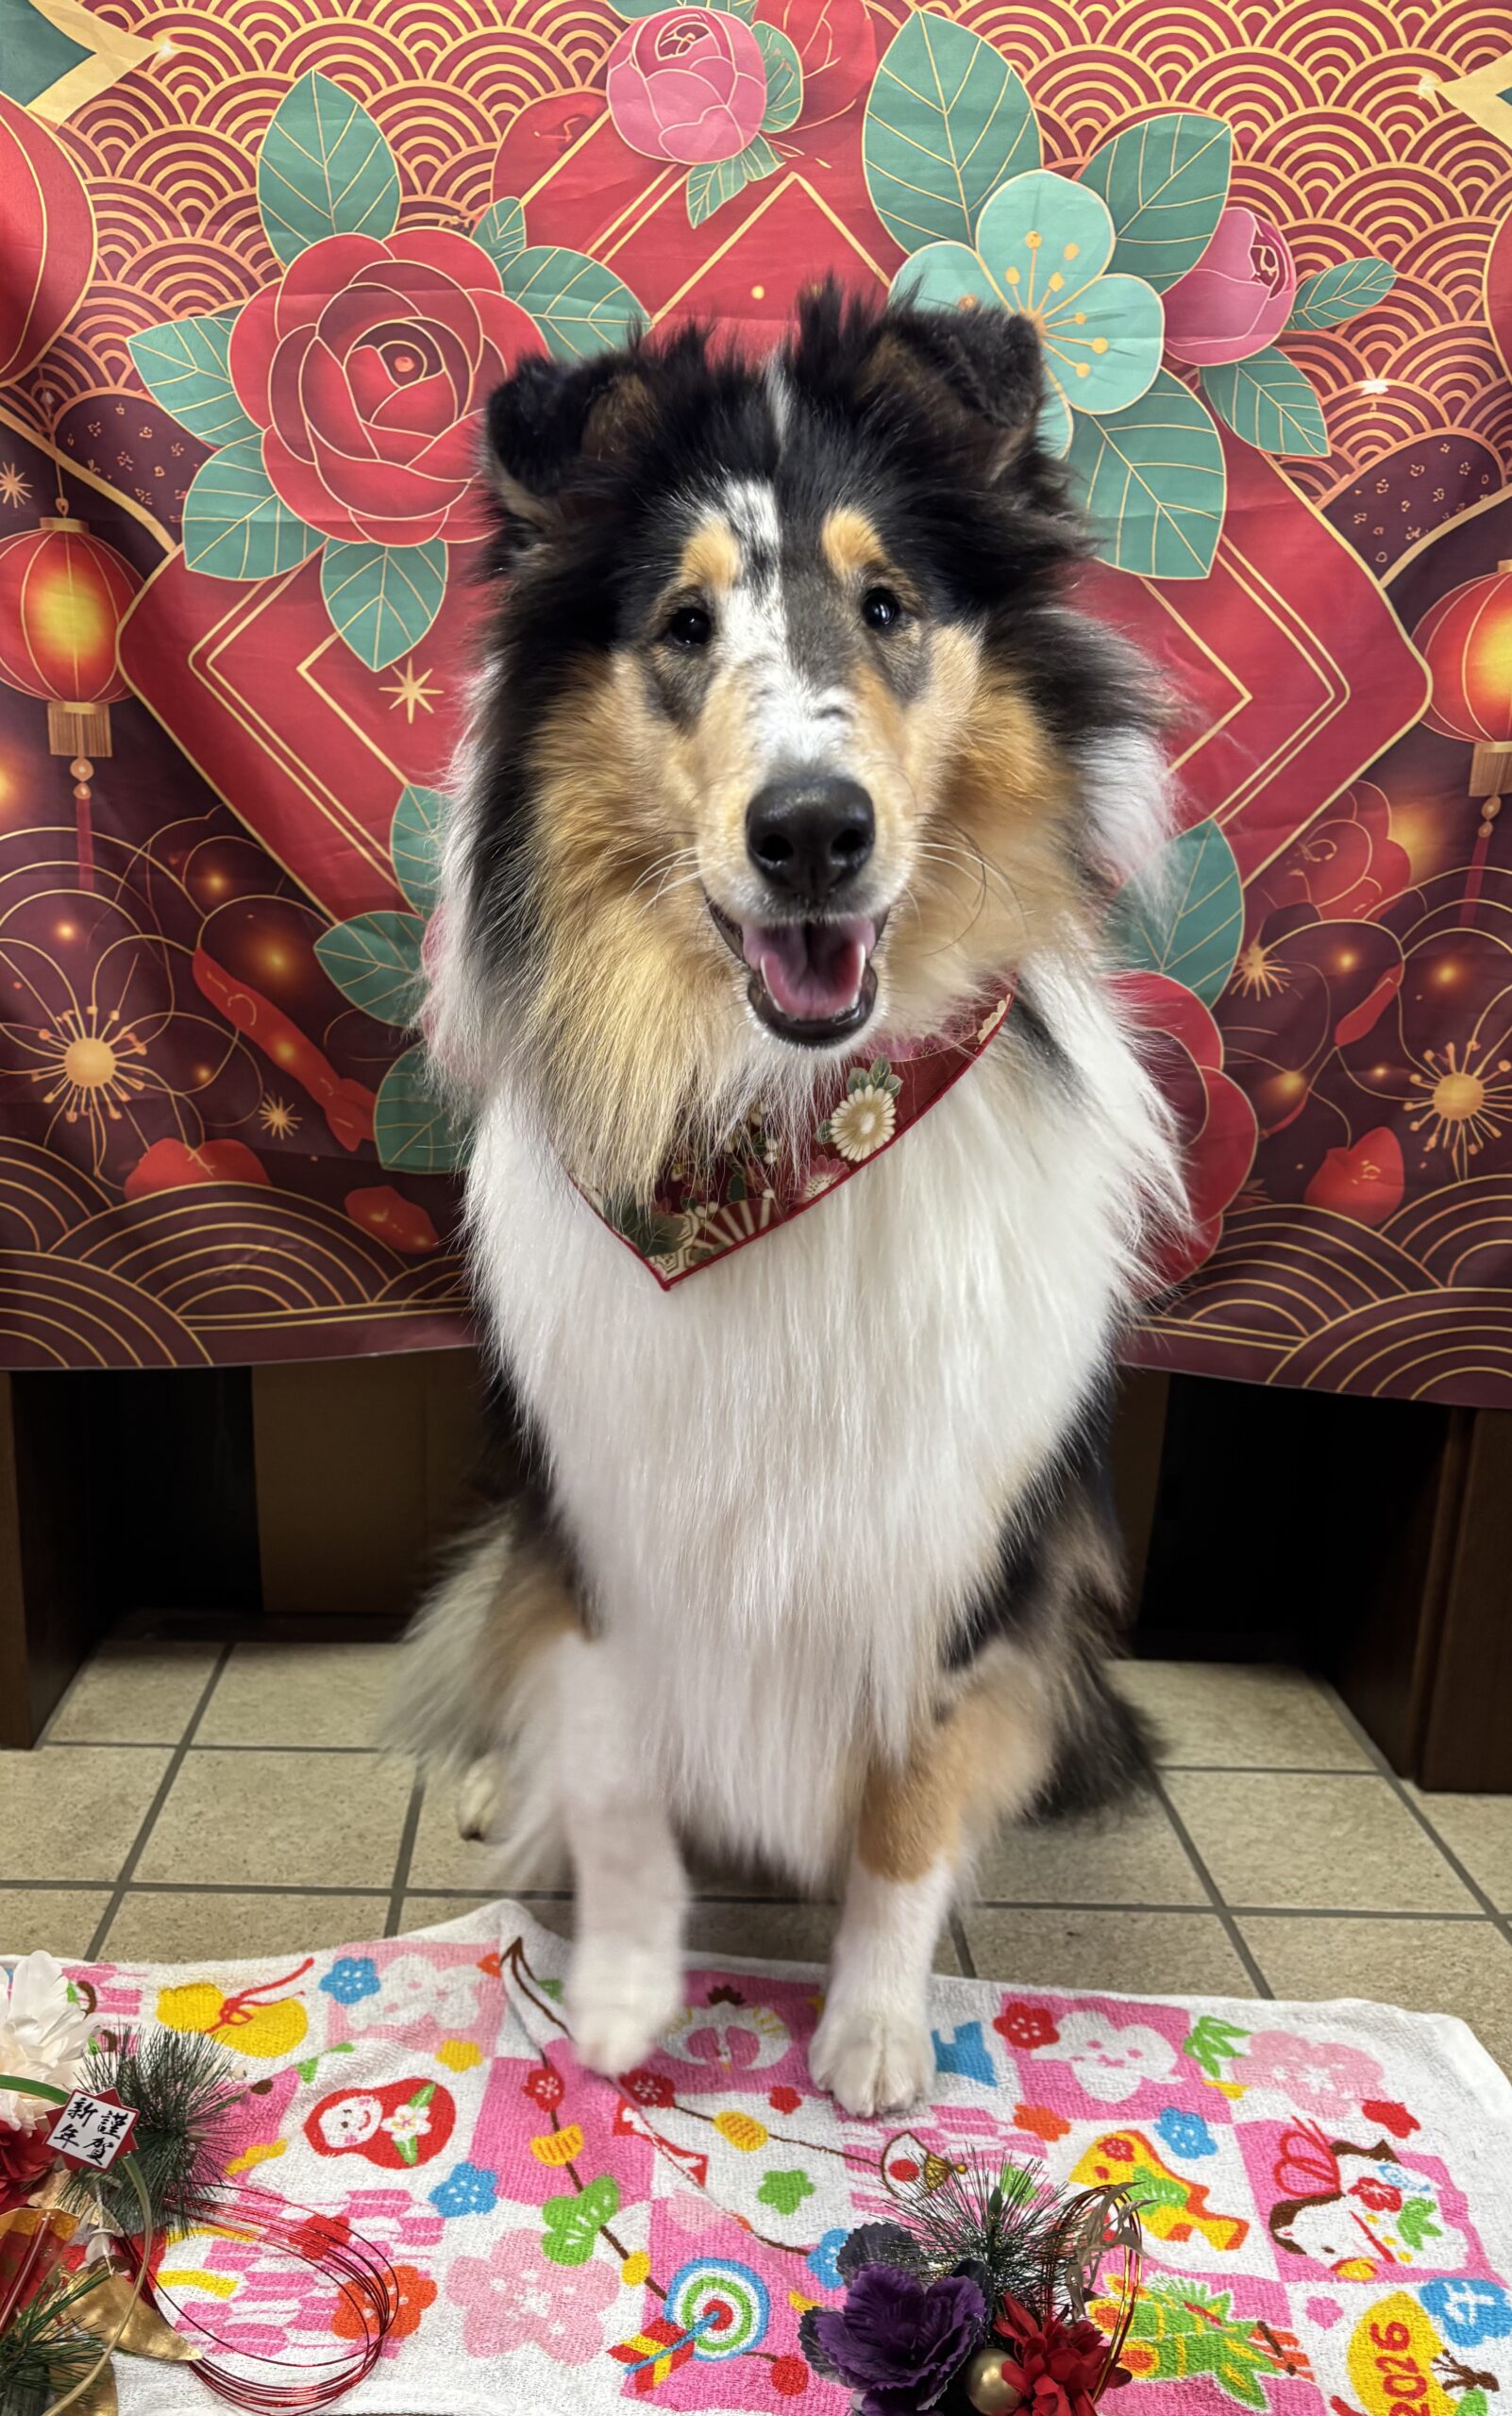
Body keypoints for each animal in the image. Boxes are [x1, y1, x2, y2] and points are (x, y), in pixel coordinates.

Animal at [395, 285, 1181, 2119]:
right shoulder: (608, 1520)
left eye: (887, 605)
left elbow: (907, 1811)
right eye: (680, 625)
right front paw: (619, 2002)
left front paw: (874, 2035)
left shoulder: (942, 1539)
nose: (810, 834)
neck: (783, 1135)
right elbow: (613, 1783)